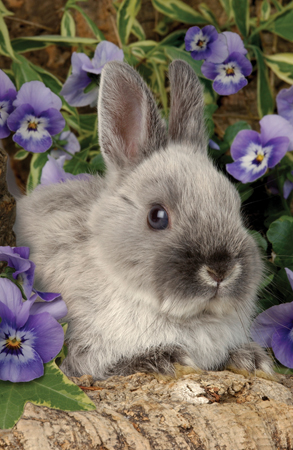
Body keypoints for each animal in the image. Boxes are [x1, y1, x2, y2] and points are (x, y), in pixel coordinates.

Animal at [14, 59, 272, 376]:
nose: (220, 270)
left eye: (235, 208)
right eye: (157, 216)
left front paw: (252, 359)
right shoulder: (78, 352)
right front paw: (164, 358)